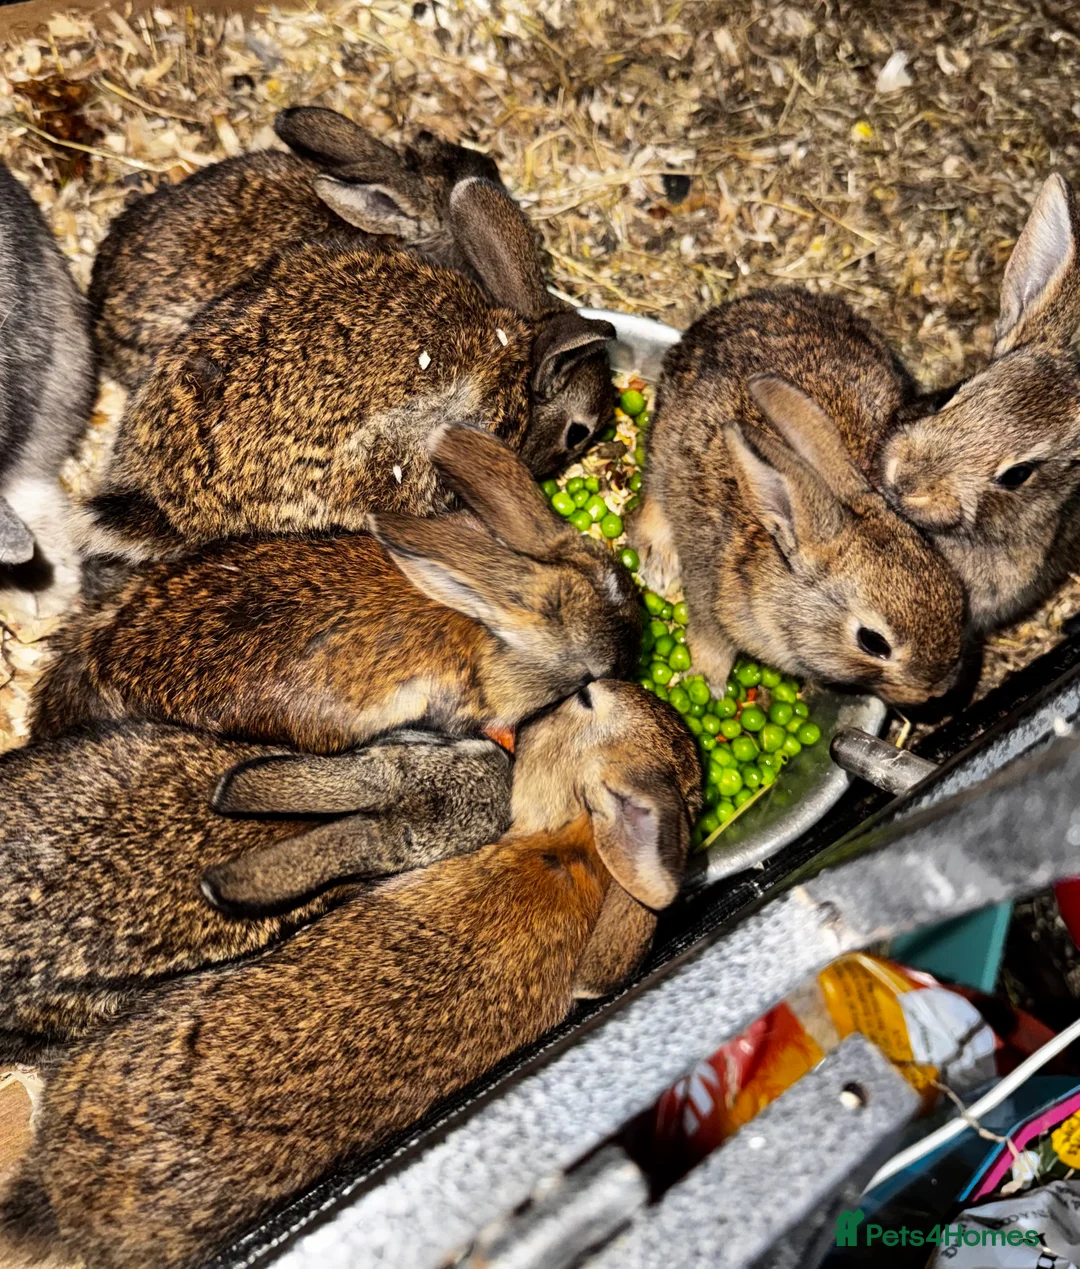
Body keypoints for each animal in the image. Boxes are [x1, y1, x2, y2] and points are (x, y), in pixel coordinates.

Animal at [630, 289, 967, 706]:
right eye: (873, 642)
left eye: (959, 596)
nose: (936, 690)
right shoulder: (711, 598)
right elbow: (710, 642)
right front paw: (706, 685)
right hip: (664, 445)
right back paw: (657, 562)